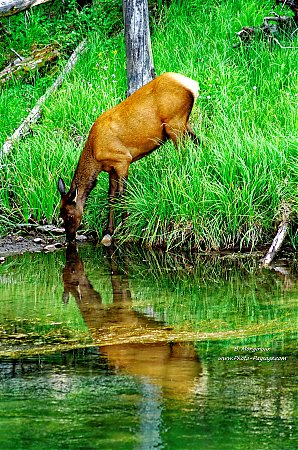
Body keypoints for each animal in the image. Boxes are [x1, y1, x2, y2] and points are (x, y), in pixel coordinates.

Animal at [57, 71, 199, 244]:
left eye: (70, 216)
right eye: (60, 215)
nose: (69, 238)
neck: (95, 154)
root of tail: (192, 85)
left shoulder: (123, 160)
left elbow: (122, 194)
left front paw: (125, 228)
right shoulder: (111, 169)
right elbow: (111, 197)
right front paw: (109, 230)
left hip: (175, 123)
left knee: (185, 154)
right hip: (184, 124)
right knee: (200, 144)